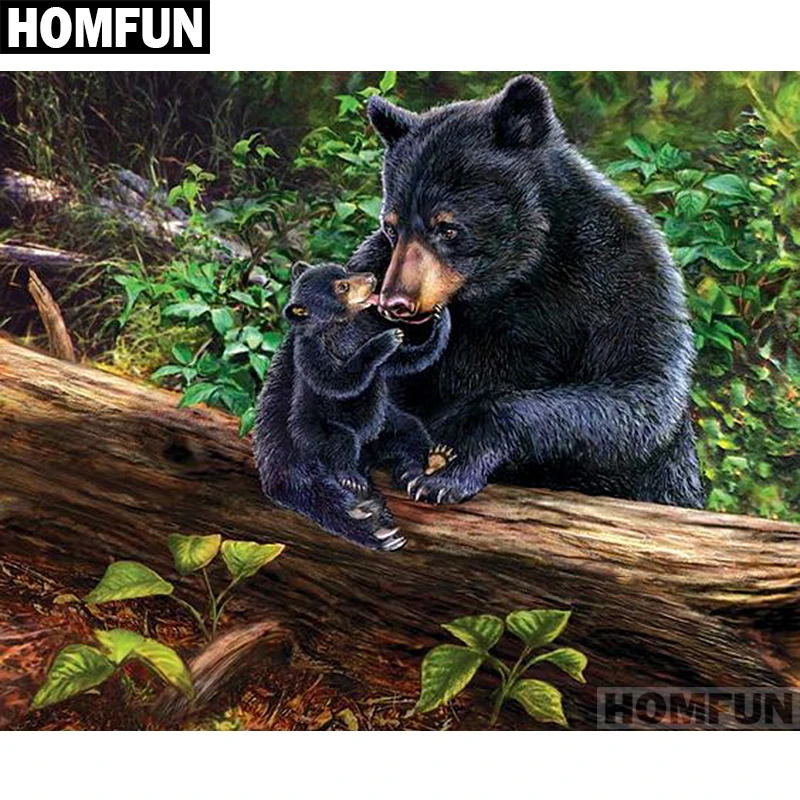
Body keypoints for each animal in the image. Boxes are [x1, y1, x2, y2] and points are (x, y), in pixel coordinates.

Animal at [254, 261, 454, 551]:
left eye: (345, 270)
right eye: (342, 287)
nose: (372, 278)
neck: (342, 325)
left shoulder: (366, 331)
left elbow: (408, 360)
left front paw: (439, 317)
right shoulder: (313, 351)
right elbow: (338, 380)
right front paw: (385, 341)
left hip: (385, 426)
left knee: (410, 431)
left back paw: (430, 463)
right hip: (311, 435)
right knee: (336, 448)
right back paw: (361, 501)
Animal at [343, 73, 706, 509]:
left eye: (448, 228)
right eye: (392, 227)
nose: (395, 302)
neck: (512, 278)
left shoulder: (624, 273)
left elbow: (640, 394)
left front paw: (449, 468)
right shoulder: (373, 266)